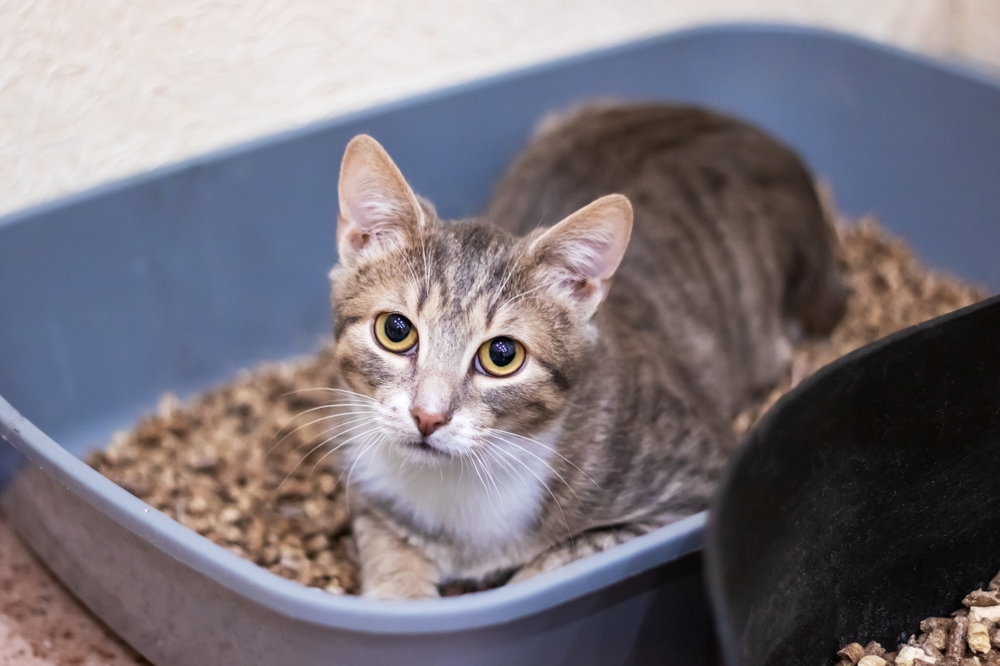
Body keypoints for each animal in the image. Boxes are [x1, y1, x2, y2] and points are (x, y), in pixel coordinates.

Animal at [326, 102, 844, 596]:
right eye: (396, 330)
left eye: (502, 355)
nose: (427, 417)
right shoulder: (369, 482)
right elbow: (387, 545)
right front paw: (399, 592)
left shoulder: (694, 486)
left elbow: (562, 557)